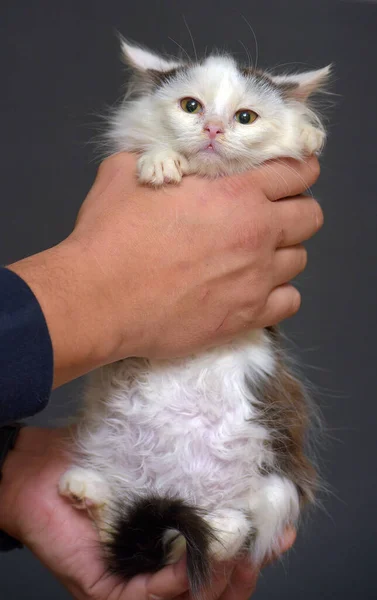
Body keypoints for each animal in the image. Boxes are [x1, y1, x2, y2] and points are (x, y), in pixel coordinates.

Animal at [58, 39, 328, 596]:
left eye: (245, 117)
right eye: (191, 107)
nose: (213, 131)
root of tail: (177, 488)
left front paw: (306, 134)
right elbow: (145, 146)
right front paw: (161, 164)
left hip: (276, 483)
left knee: (228, 536)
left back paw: (217, 527)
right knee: (131, 521)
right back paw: (87, 491)